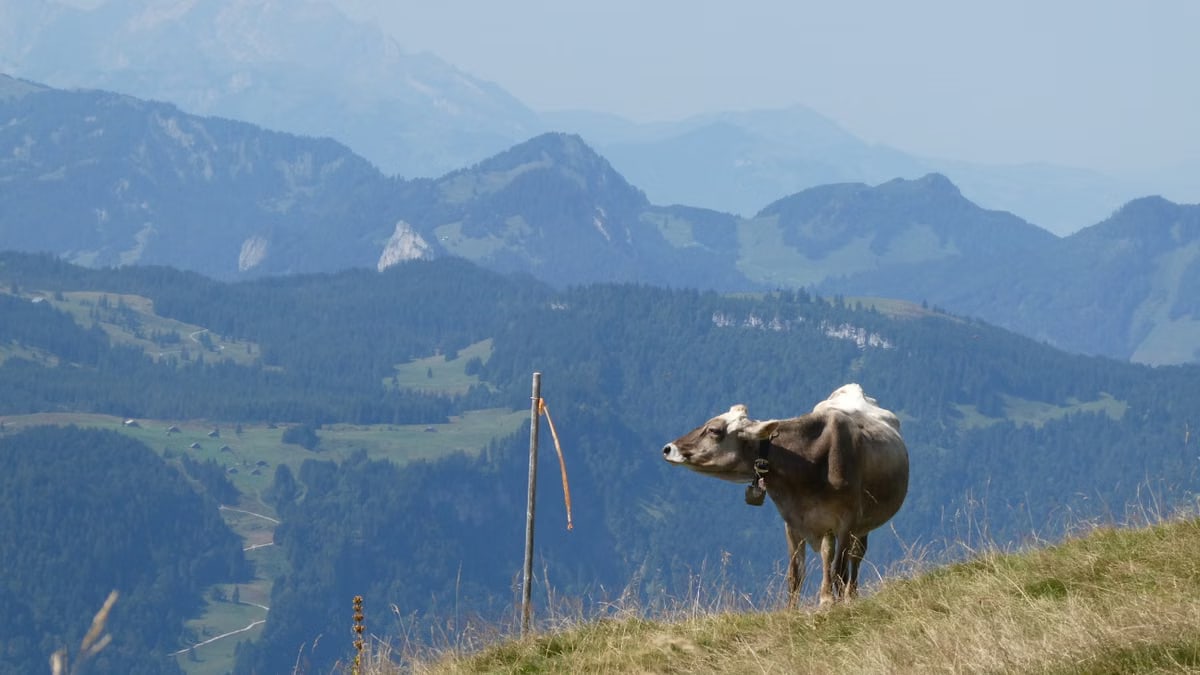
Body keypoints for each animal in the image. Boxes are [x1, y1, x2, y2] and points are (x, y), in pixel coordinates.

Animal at [661, 384, 909, 607]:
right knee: (829, 554)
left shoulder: (846, 521)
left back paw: (848, 596)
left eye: (714, 430)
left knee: (854, 558)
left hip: (861, 524)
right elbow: (796, 574)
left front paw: (834, 603)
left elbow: (838, 568)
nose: (668, 448)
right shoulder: (793, 522)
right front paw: (794, 610)